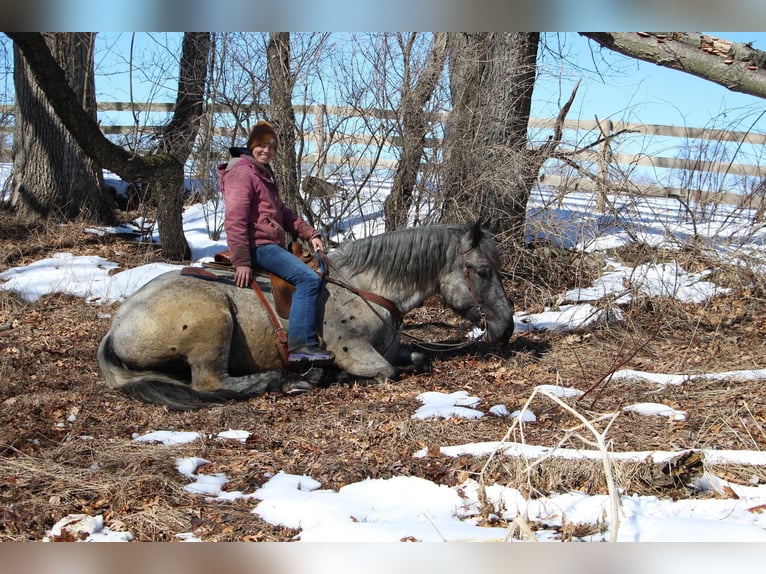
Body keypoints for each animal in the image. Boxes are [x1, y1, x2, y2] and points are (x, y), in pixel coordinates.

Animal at [97, 223, 516, 412]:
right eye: (482, 271)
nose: (507, 327)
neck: (364, 288)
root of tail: (118, 325)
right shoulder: (355, 352)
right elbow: (386, 372)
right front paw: (334, 375)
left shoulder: (393, 349)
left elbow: (419, 358)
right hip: (213, 320)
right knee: (210, 383)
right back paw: (289, 379)